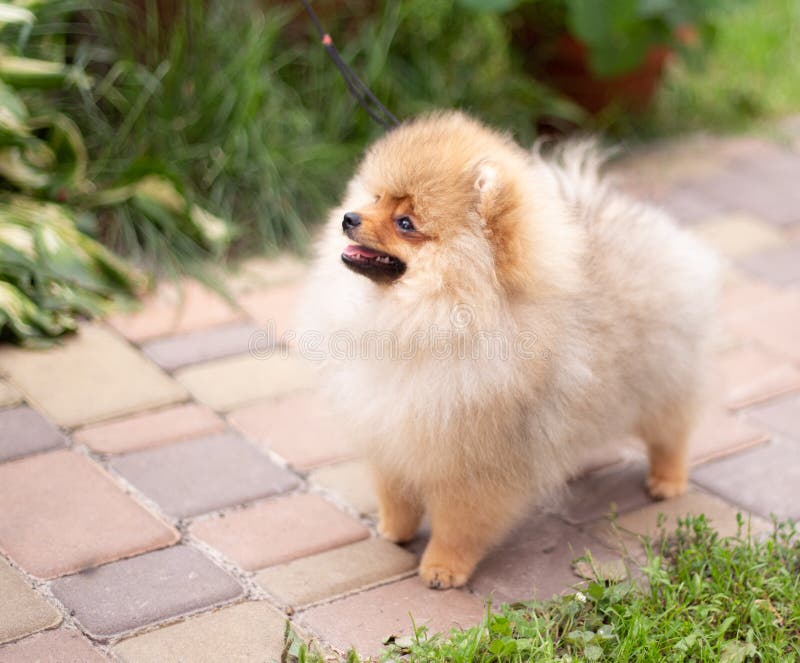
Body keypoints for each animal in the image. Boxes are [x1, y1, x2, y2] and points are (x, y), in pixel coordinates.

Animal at [302, 111, 720, 588]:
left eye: (406, 223)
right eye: (376, 198)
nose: (348, 217)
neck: (428, 317)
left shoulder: (474, 461)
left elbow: (459, 523)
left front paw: (443, 567)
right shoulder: (390, 428)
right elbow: (396, 492)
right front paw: (394, 530)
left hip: (665, 376)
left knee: (672, 432)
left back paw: (667, 480)